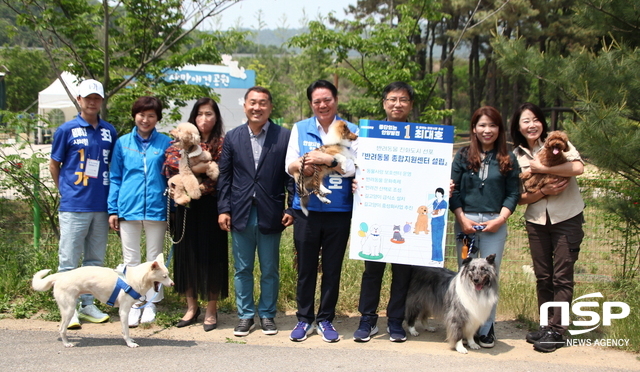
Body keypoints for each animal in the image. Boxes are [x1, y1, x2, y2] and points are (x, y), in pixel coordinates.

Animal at [31, 254, 172, 348]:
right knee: (62, 329)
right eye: (164, 276)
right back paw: (67, 343)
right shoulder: (124, 311)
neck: (135, 278)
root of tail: (61, 275)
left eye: (168, 275)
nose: (172, 283)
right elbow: (126, 330)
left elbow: (125, 330)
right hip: (68, 309)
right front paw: (129, 343)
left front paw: (130, 340)